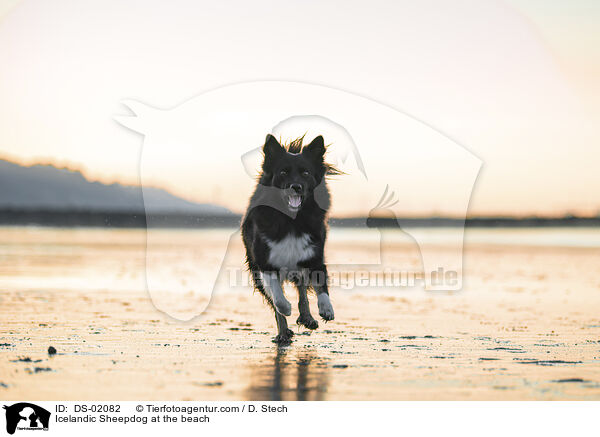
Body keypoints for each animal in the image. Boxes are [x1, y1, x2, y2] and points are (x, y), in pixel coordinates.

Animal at [243, 135, 338, 342]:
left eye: (306, 173)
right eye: (283, 172)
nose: (296, 187)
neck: (291, 221)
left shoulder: (314, 256)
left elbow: (321, 287)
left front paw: (326, 308)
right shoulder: (265, 262)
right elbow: (277, 297)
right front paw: (286, 308)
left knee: (302, 290)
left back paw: (307, 317)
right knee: (275, 301)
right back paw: (283, 332)